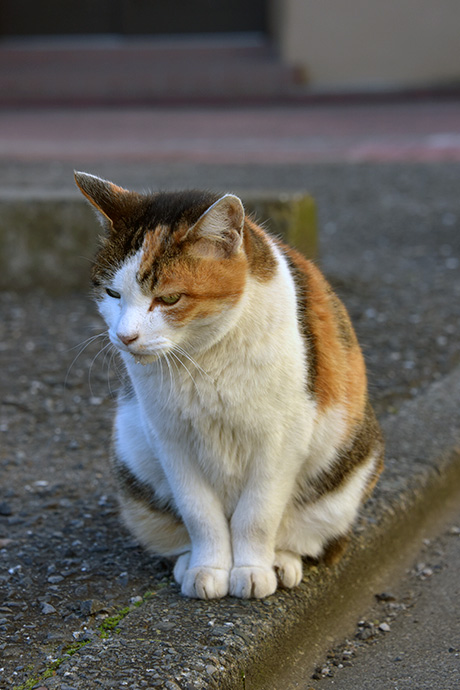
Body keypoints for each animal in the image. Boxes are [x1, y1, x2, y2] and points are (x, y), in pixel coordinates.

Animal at [75, 171, 384, 596]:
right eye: (112, 293)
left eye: (169, 298)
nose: (125, 336)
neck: (204, 360)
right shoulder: (170, 438)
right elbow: (199, 513)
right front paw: (208, 569)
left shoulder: (281, 440)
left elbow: (256, 515)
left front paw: (252, 570)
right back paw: (188, 562)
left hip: (343, 480)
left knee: (305, 534)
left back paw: (281, 562)